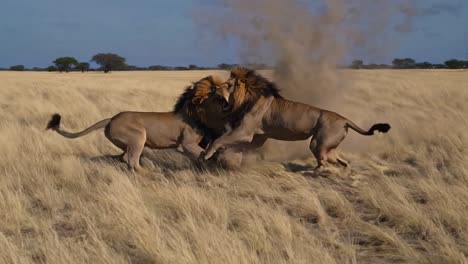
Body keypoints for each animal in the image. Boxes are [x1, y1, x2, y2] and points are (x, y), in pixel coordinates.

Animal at [46, 76, 229, 171]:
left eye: (227, 93)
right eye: (219, 96)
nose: (228, 104)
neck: (198, 113)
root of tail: (111, 118)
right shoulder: (185, 144)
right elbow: (203, 154)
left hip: (125, 143)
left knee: (123, 157)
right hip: (138, 137)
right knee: (131, 160)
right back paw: (149, 172)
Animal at [205, 68, 392, 169]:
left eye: (228, 85)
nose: (214, 89)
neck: (248, 98)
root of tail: (344, 119)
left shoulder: (244, 132)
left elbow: (218, 140)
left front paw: (207, 155)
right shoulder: (258, 137)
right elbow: (236, 146)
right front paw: (224, 156)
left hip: (318, 143)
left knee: (324, 164)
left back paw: (314, 172)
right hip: (329, 147)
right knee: (342, 163)